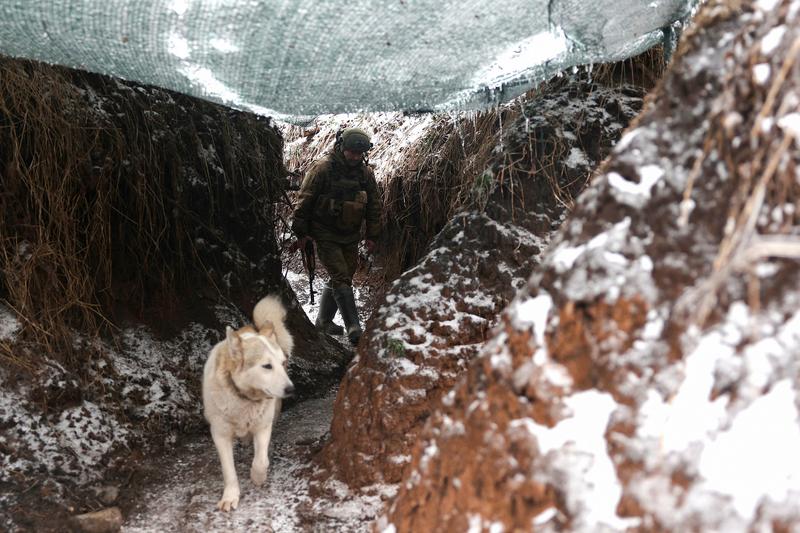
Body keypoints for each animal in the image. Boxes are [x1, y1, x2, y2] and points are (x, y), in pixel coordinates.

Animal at [202, 296, 296, 512]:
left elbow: (261, 460)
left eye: (281, 363)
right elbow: (228, 470)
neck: (243, 398)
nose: (291, 389)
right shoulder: (220, 435)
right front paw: (230, 496)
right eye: (267, 366)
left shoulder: (263, 426)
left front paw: (257, 477)